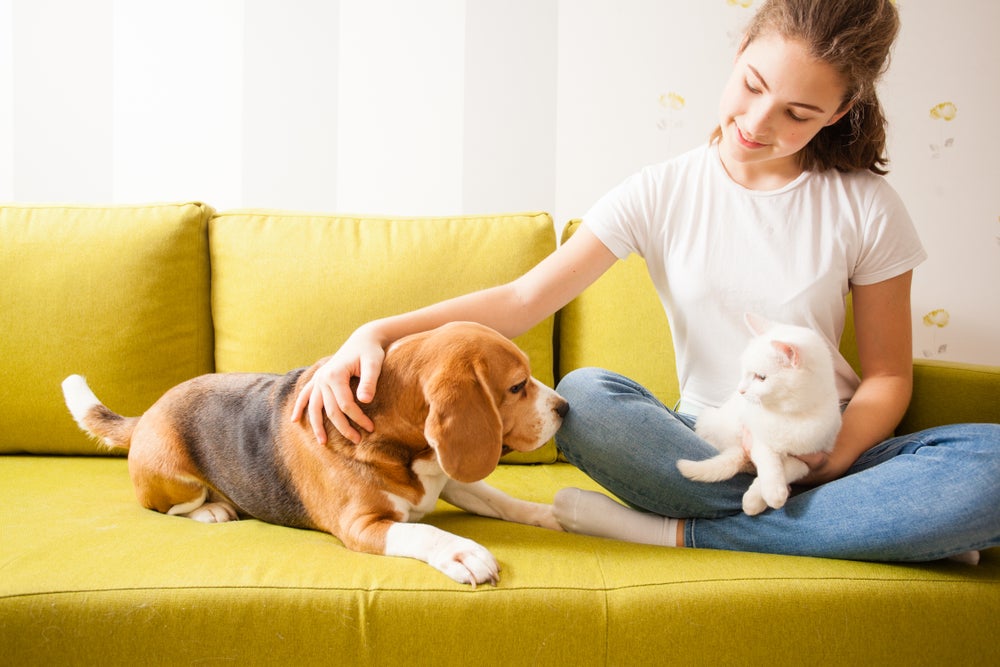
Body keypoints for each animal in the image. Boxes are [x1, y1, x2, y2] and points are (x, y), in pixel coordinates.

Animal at [62, 320, 568, 588]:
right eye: (517, 387)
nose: (565, 407)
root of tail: (147, 413)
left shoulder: (449, 476)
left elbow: (502, 501)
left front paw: (553, 515)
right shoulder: (362, 526)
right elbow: (424, 532)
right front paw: (463, 552)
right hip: (173, 477)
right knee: (171, 507)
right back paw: (213, 510)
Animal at [676, 314, 840, 516]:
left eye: (761, 378)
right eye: (744, 371)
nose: (740, 390)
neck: (788, 414)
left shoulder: (811, 459)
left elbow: (789, 469)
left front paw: (760, 497)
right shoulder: (757, 438)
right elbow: (769, 464)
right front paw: (769, 493)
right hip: (712, 420)